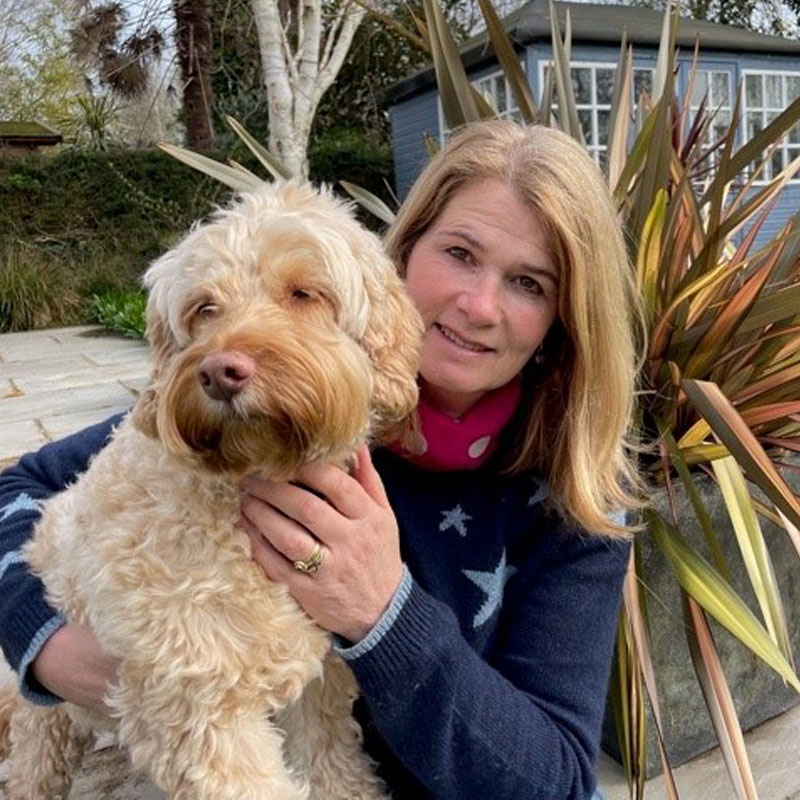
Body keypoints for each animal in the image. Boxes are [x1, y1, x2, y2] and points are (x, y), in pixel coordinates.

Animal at [0, 183, 422, 800]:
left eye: (304, 292)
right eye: (204, 308)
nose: (222, 370)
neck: (244, 487)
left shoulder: (317, 685)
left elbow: (333, 765)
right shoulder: (200, 707)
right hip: (48, 715)